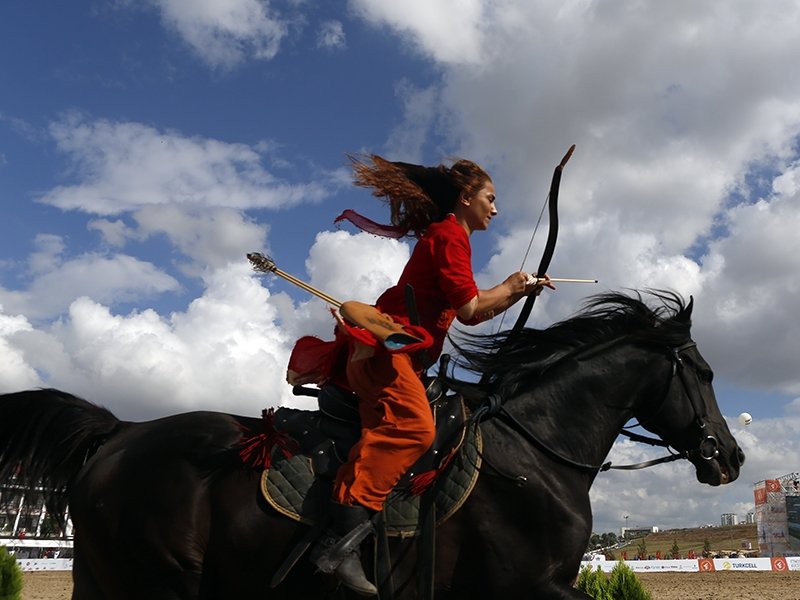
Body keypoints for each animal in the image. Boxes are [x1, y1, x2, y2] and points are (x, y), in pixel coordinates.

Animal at [0, 290, 744, 596]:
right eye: (705, 373)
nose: (730, 457)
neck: (533, 456)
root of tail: (123, 430)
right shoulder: (530, 585)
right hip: (162, 580)